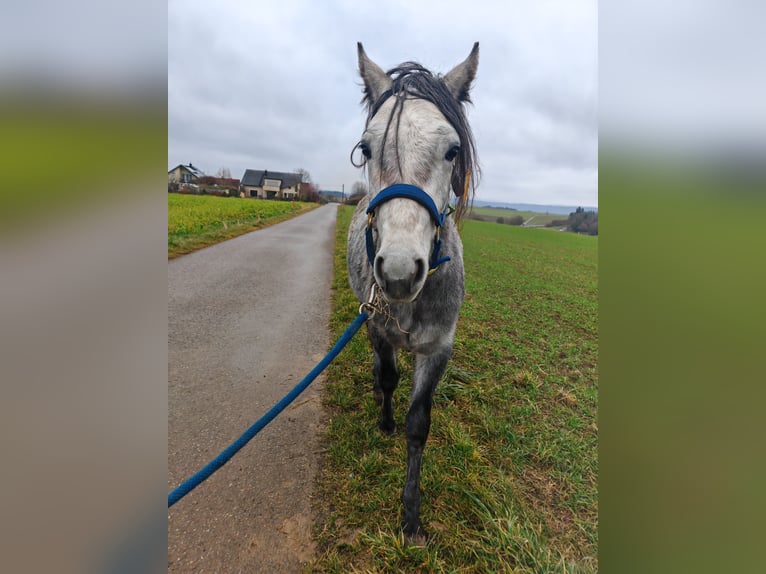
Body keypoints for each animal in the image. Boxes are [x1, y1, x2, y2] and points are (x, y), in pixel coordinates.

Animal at [348, 44, 480, 544]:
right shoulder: (378, 327)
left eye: (452, 150)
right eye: (366, 149)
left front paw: (411, 518)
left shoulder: (438, 348)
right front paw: (385, 421)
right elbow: (388, 379)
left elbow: (419, 424)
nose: (401, 272)